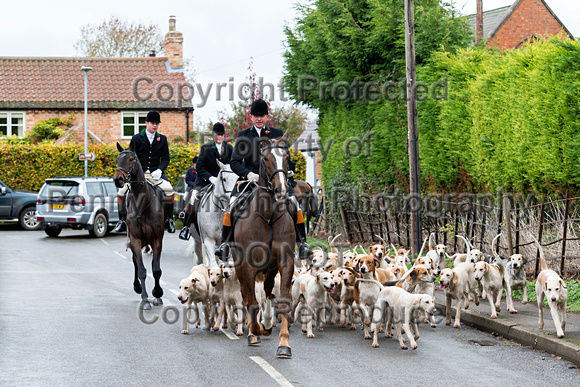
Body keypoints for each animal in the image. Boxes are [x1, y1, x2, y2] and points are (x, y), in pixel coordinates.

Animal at [114, 141, 165, 310]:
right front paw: (145, 299)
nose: (118, 180)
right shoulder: (135, 239)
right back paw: (137, 287)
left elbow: (156, 270)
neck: (142, 204)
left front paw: (157, 294)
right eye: (117, 159)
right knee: (136, 263)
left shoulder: (157, 240)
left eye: (131, 159)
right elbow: (142, 270)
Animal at [231, 132, 294, 360]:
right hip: (239, 266)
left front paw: (284, 344)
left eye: (286, 157)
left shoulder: (285, 262)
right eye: (265, 158)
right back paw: (254, 330)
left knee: (267, 290)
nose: (281, 190)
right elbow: (251, 300)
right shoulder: (247, 265)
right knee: (247, 293)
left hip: (271, 267)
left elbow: (282, 301)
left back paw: (266, 323)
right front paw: (254, 330)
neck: (268, 215)